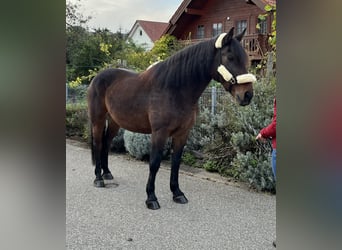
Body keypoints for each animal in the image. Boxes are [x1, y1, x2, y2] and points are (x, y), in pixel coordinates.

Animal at [87, 27, 255, 210]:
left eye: (246, 58)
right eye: (230, 57)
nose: (247, 95)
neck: (174, 89)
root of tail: (97, 78)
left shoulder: (182, 133)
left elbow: (176, 163)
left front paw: (177, 193)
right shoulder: (159, 133)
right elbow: (154, 163)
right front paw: (151, 198)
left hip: (115, 122)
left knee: (106, 143)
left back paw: (107, 173)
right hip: (98, 120)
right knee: (98, 144)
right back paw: (98, 179)